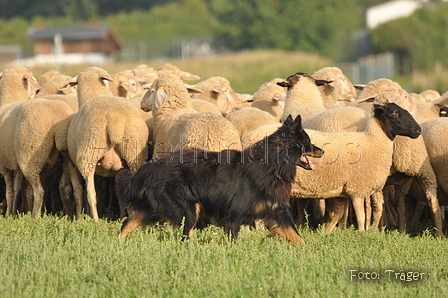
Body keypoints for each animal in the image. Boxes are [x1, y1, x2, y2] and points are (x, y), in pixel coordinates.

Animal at [67, 67, 149, 221]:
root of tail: (115, 119)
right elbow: (120, 196)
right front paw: (122, 215)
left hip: (89, 154)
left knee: (91, 194)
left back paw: (95, 220)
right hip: (133, 153)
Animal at [115, 114, 324, 244]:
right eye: (307, 143)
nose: (323, 151)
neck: (272, 163)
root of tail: (150, 167)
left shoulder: (278, 210)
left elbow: (297, 237)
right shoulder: (233, 215)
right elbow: (232, 240)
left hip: (156, 208)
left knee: (129, 222)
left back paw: (120, 243)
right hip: (187, 210)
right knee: (184, 235)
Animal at [243, 102, 422, 230]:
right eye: (394, 112)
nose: (418, 130)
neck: (372, 140)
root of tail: (248, 137)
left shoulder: (343, 190)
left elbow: (338, 214)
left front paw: (326, 232)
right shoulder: (357, 189)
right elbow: (361, 217)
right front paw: (362, 235)